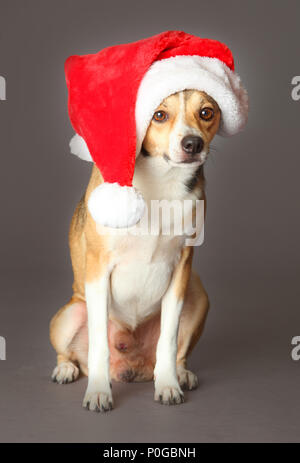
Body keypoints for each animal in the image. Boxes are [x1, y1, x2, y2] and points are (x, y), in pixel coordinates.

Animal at [49, 89, 220, 412]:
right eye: (159, 115)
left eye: (206, 112)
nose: (193, 144)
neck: (163, 181)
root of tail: (130, 368)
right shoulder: (98, 269)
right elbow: (99, 344)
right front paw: (99, 392)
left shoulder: (182, 266)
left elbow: (169, 338)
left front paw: (168, 385)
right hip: (70, 314)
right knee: (71, 352)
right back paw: (66, 368)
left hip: (198, 294)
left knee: (177, 351)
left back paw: (180, 373)